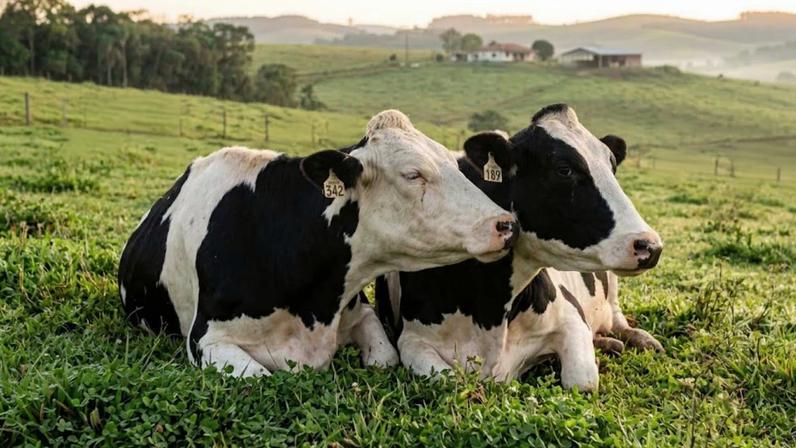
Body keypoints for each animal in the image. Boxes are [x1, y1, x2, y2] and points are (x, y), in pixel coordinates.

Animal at [118, 110, 517, 377]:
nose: (505, 223)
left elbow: (385, 358)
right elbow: (257, 377)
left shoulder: (361, 312)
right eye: (413, 174)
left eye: (454, 163)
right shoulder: (207, 340)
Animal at [376, 104, 663, 391]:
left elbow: (582, 380)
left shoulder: (571, 318)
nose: (650, 245)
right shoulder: (412, 339)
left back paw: (639, 339)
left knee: (616, 317)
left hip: (612, 284)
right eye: (564, 169)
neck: (490, 309)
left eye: (612, 167)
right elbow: (447, 378)